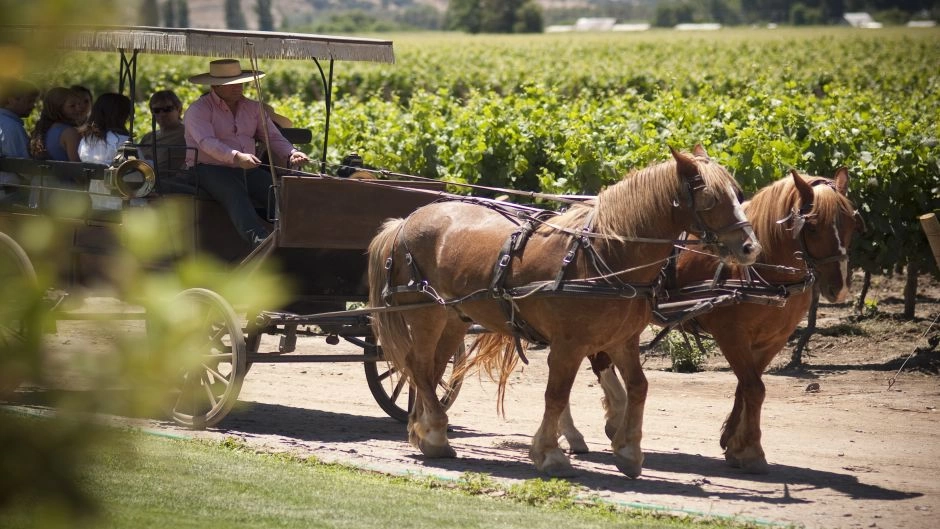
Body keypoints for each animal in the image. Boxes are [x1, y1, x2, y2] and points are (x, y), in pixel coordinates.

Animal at [370, 145, 760, 478]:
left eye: (739, 194)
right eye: (710, 199)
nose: (750, 247)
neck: (604, 254)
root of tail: (405, 221)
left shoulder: (622, 340)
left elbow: (638, 386)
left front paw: (628, 451)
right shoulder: (569, 344)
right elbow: (556, 394)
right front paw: (550, 454)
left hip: (454, 318)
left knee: (431, 370)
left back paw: (422, 431)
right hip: (425, 313)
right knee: (418, 365)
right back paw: (435, 434)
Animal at [560, 167, 864, 472]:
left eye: (852, 223)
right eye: (812, 226)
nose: (839, 288)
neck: (762, 270)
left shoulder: (773, 340)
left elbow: (746, 387)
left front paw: (733, 442)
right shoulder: (731, 335)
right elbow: (755, 388)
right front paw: (752, 450)